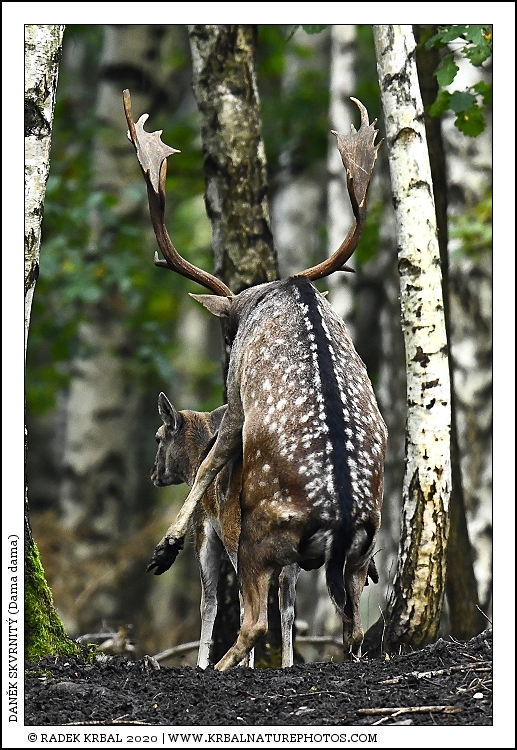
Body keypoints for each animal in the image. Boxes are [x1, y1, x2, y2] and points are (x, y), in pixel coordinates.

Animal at [151, 393, 301, 668]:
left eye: (158, 437)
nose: (154, 474)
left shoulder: (203, 530)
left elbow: (208, 601)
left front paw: (201, 663)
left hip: (236, 534)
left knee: (249, 604)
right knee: (287, 601)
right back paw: (287, 663)